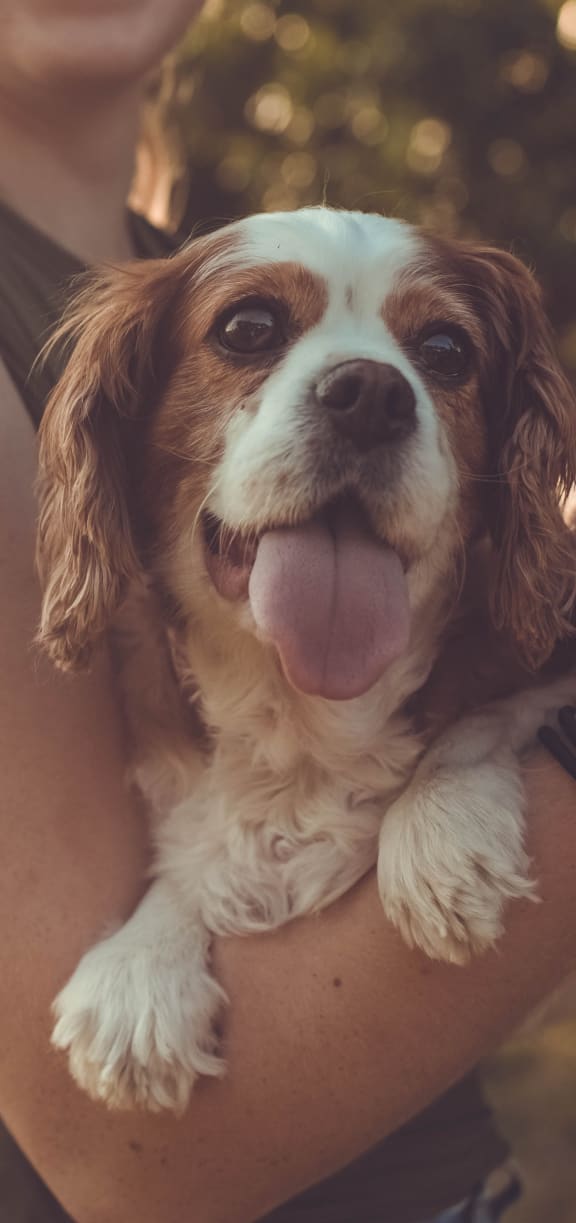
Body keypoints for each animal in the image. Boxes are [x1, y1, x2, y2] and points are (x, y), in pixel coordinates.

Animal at [35, 207, 576, 1110]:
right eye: (247, 327)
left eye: (446, 349)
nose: (372, 396)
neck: (305, 713)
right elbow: (201, 847)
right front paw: (143, 962)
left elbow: (494, 711)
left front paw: (439, 826)